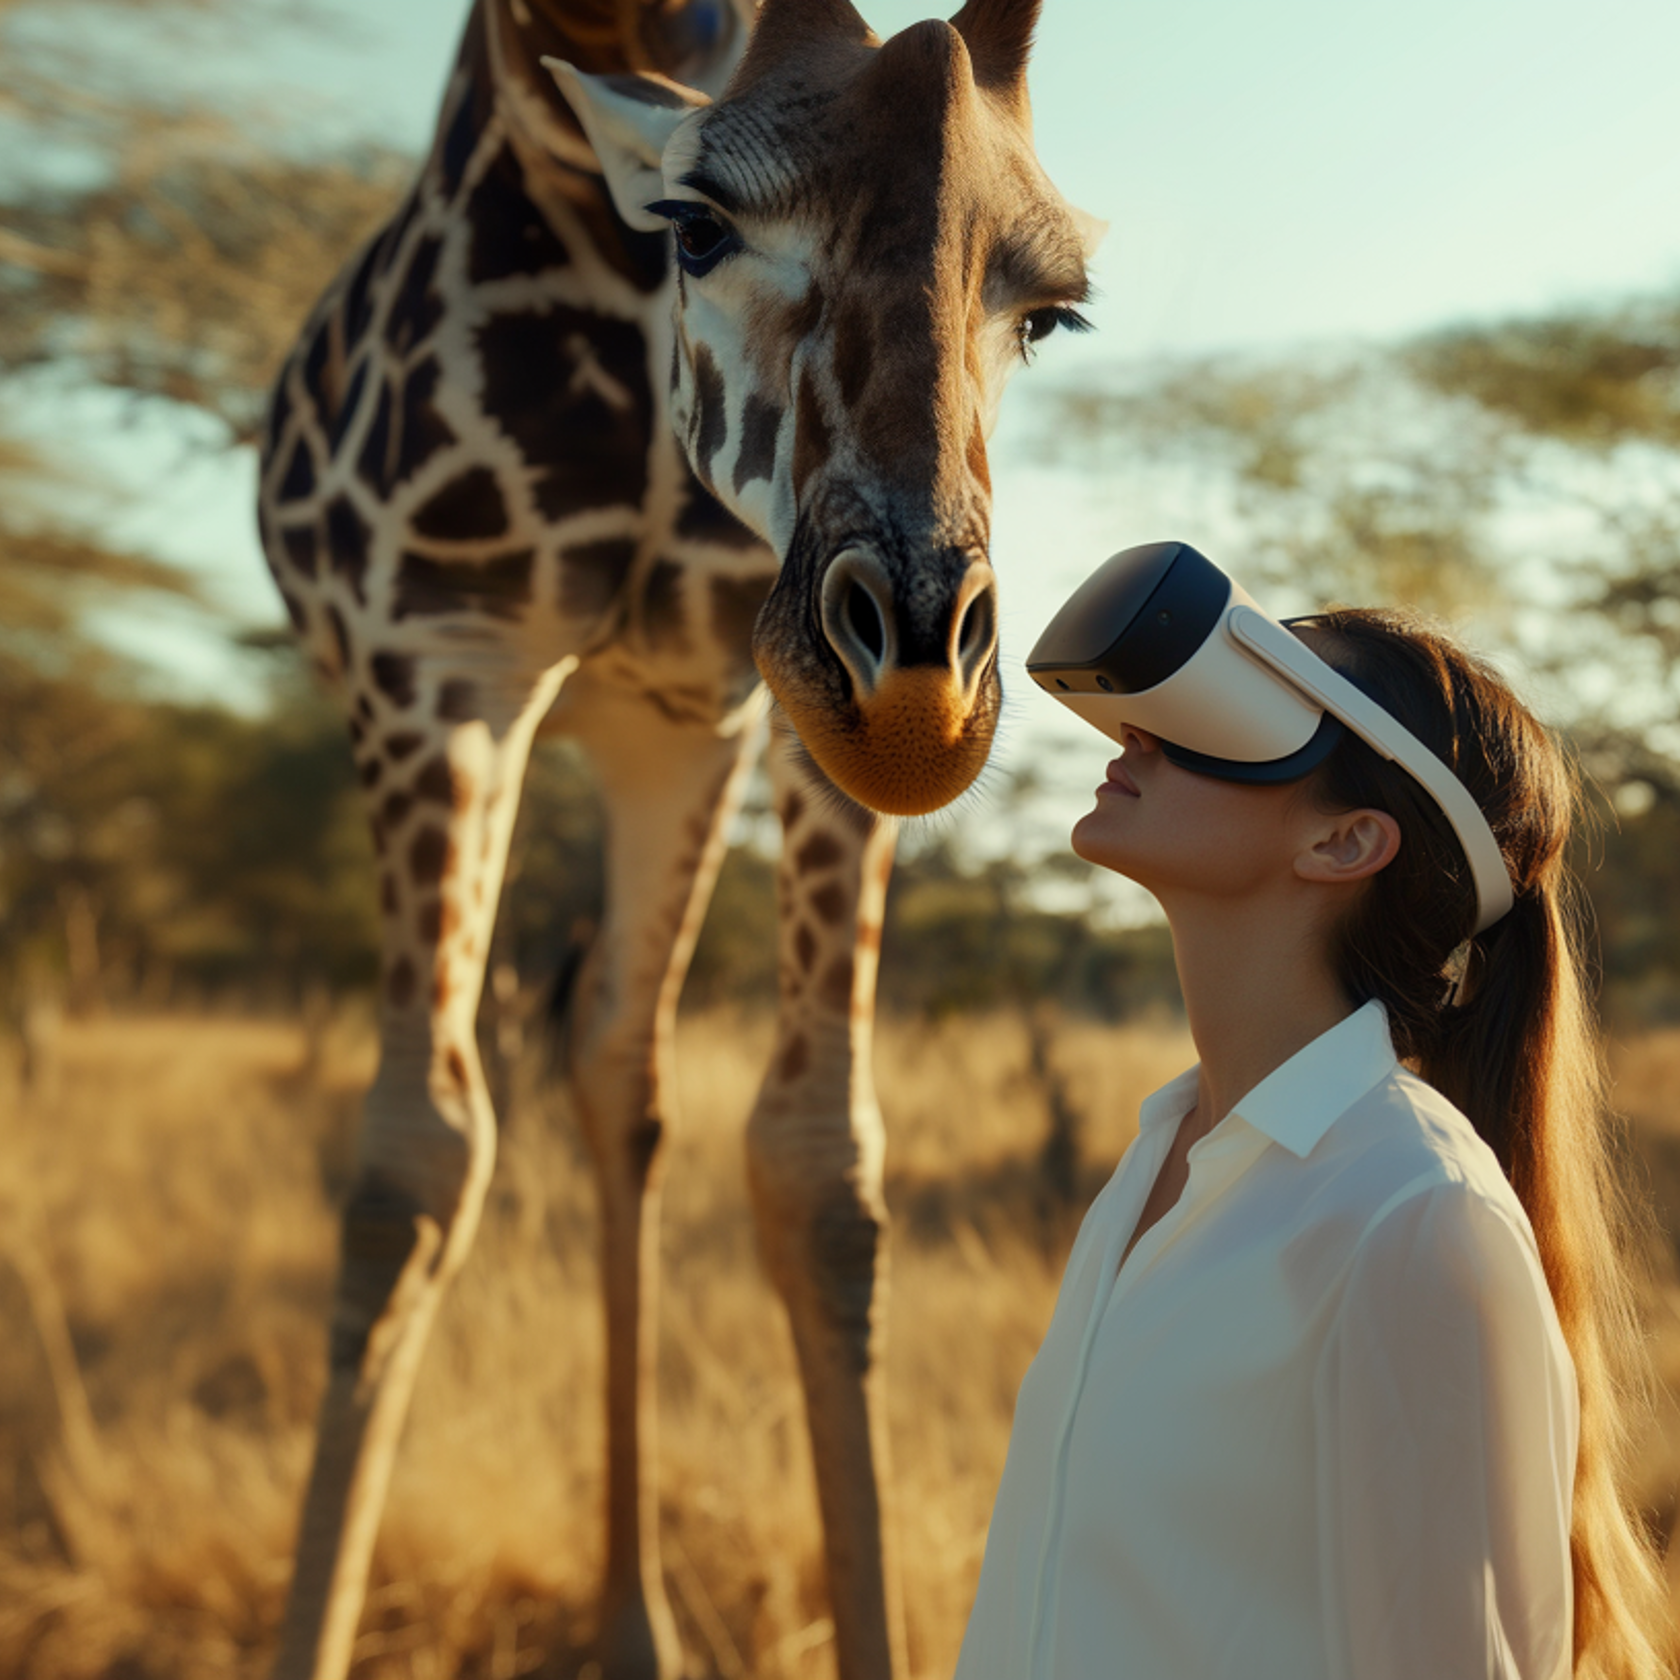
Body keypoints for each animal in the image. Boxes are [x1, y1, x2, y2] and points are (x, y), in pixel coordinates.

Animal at [255, 0, 1099, 1676]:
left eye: (1050, 311)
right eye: (698, 224)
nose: (919, 698)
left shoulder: (759, 699)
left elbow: (821, 1166)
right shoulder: (433, 659)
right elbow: (410, 1163)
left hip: (668, 742)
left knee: (612, 1056)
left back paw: (636, 1622)